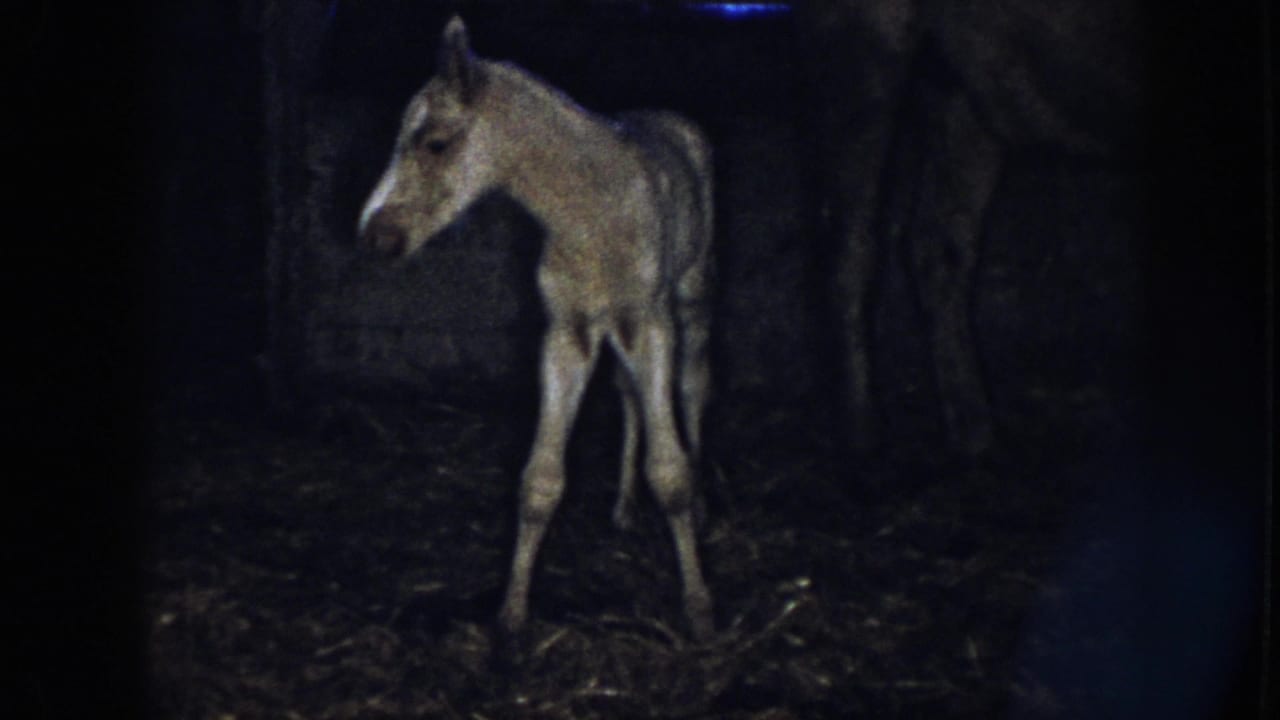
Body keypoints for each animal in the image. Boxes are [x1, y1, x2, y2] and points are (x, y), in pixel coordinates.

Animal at [357, 17, 715, 640]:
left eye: (435, 142)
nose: (374, 235)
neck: (591, 215)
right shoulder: (567, 334)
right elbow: (539, 480)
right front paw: (511, 616)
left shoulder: (651, 323)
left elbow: (670, 471)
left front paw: (698, 607)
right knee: (626, 395)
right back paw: (622, 509)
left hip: (690, 298)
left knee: (694, 384)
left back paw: (698, 501)